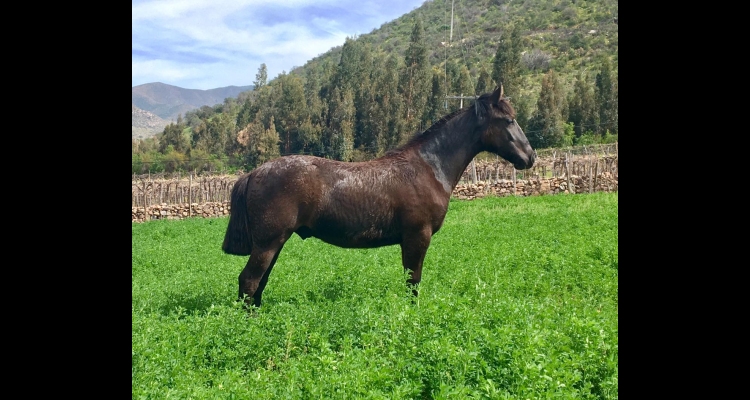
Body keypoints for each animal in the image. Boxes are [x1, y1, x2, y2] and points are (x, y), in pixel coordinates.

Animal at [220, 86, 536, 308]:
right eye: (509, 120)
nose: (530, 157)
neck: (427, 167)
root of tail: (254, 173)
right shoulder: (417, 237)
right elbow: (413, 282)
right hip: (268, 243)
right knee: (249, 281)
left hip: (273, 243)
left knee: (258, 283)